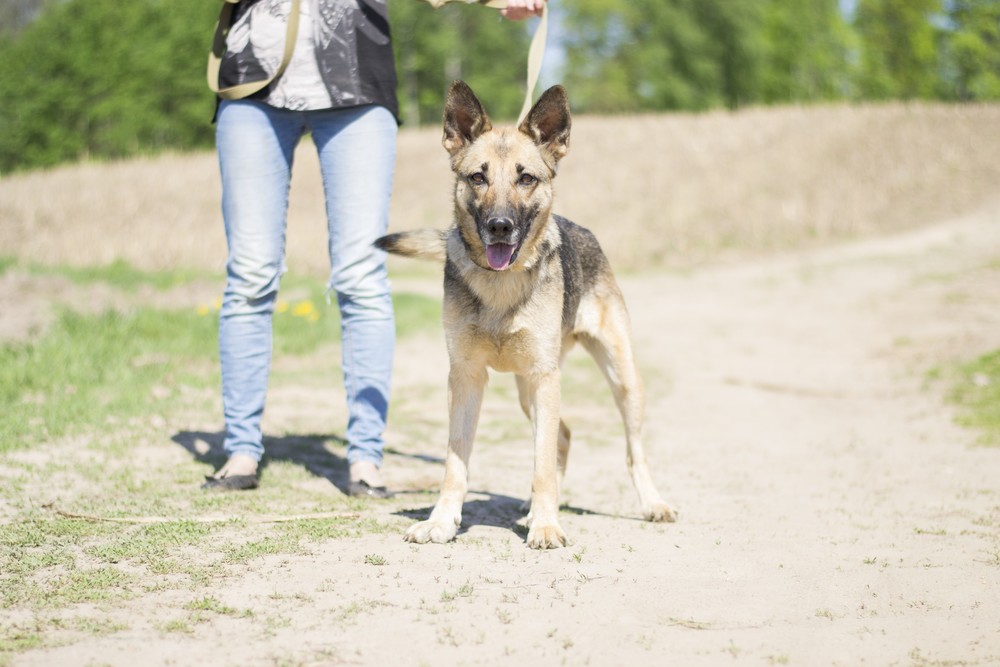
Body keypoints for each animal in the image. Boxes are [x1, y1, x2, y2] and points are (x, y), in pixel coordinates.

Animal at [376, 81, 680, 548]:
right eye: (477, 177)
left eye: (526, 178)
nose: (500, 226)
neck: (501, 285)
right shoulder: (466, 378)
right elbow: (455, 463)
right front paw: (442, 521)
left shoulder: (544, 378)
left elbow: (541, 464)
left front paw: (547, 524)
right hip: (526, 391)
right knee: (563, 437)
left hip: (621, 380)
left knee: (631, 450)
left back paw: (651, 503)